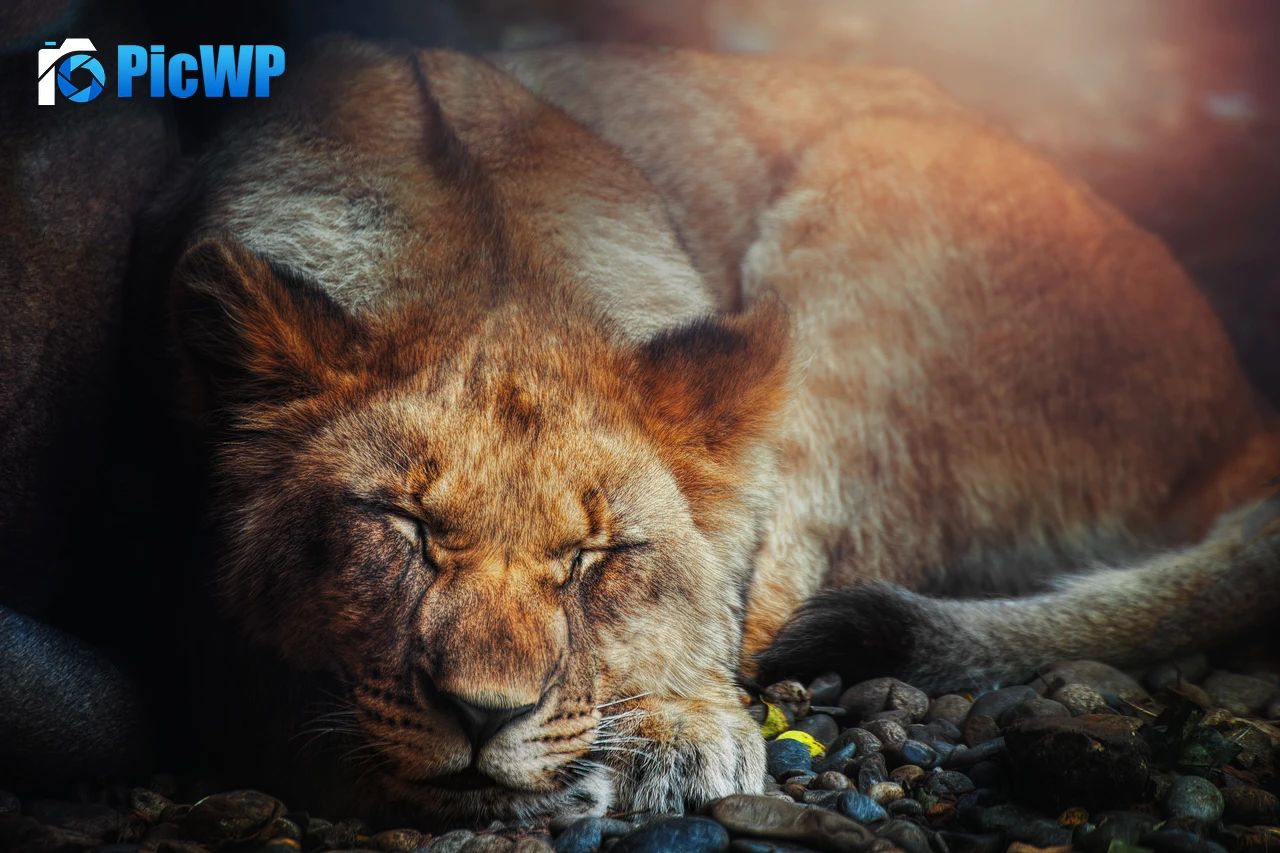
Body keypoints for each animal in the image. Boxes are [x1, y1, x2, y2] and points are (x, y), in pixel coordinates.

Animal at [163, 38, 1280, 821]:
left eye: (595, 557)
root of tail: (1239, 407)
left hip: (865, 232)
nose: (485, 716)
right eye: (404, 529)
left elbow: (717, 591)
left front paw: (668, 727)